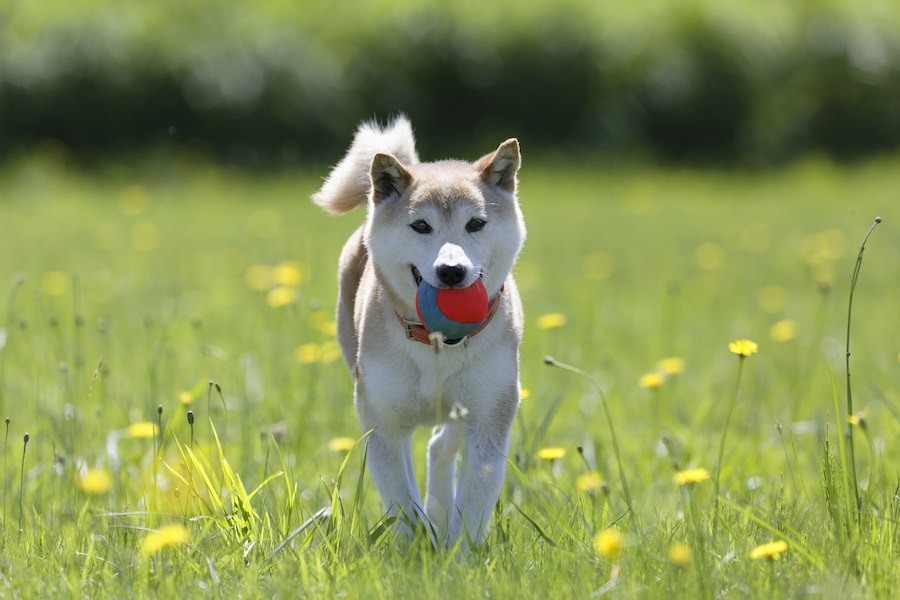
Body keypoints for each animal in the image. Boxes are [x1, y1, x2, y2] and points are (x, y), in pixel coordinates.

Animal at [312, 115, 528, 548]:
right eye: (421, 226)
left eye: (475, 223)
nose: (452, 271)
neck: (437, 345)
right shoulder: (382, 420)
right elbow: (402, 501)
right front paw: (419, 550)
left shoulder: (489, 417)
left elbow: (473, 506)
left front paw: (456, 554)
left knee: (440, 445)